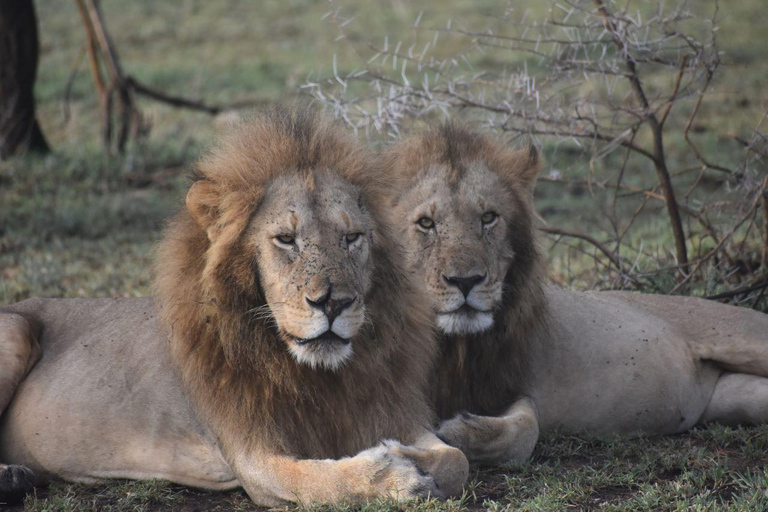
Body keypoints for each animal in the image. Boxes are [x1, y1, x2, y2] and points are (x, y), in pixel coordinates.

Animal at [0, 109, 468, 508]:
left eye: (352, 237)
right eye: (286, 240)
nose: (333, 303)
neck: (318, 375)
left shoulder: (383, 404)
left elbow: (456, 459)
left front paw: (399, 450)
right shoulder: (253, 458)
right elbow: (322, 481)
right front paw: (393, 476)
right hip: (15, 330)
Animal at [388, 123, 768, 464]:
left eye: (488, 217)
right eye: (426, 224)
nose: (465, 281)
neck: (456, 346)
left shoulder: (512, 388)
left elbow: (525, 432)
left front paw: (459, 433)